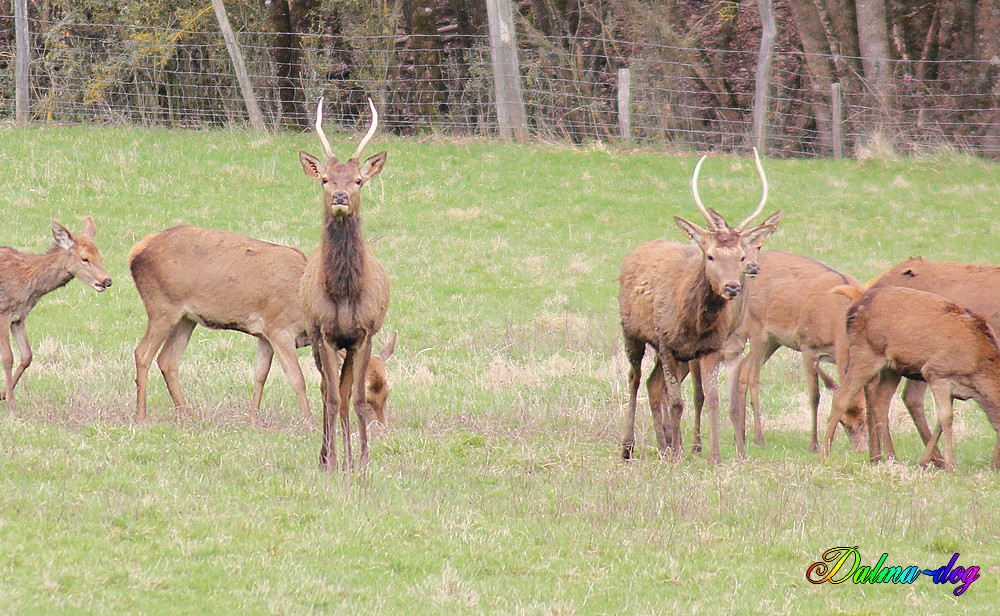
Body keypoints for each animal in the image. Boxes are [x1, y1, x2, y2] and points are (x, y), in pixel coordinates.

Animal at [0, 219, 112, 412]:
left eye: (101, 257)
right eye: (85, 258)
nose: (107, 281)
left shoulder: (19, 317)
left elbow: (27, 355)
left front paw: (4, 394)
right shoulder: (3, 312)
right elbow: (8, 357)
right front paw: (11, 403)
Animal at [129, 225, 398, 424]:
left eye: (387, 390)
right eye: (365, 392)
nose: (381, 428)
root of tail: (135, 252)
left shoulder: (265, 335)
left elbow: (260, 374)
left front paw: (253, 419)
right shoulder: (280, 329)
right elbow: (297, 378)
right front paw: (310, 421)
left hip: (186, 319)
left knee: (168, 360)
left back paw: (186, 414)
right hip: (162, 307)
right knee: (142, 353)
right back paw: (141, 416)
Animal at [616, 149, 780, 464]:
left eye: (741, 256)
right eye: (710, 255)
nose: (732, 287)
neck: (694, 322)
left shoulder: (710, 349)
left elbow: (715, 400)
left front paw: (715, 456)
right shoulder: (668, 344)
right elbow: (678, 401)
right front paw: (681, 452)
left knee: (653, 385)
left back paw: (662, 445)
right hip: (633, 333)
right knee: (634, 378)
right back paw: (629, 447)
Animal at [820, 286, 1000, 472]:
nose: (995, 465)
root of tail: (855, 305)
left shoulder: (952, 388)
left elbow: (939, 421)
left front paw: (924, 461)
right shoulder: (935, 372)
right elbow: (946, 418)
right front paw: (950, 465)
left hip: (892, 368)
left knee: (880, 401)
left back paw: (892, 457)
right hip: (866, 352)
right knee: (841, 396)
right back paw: (823, 455)